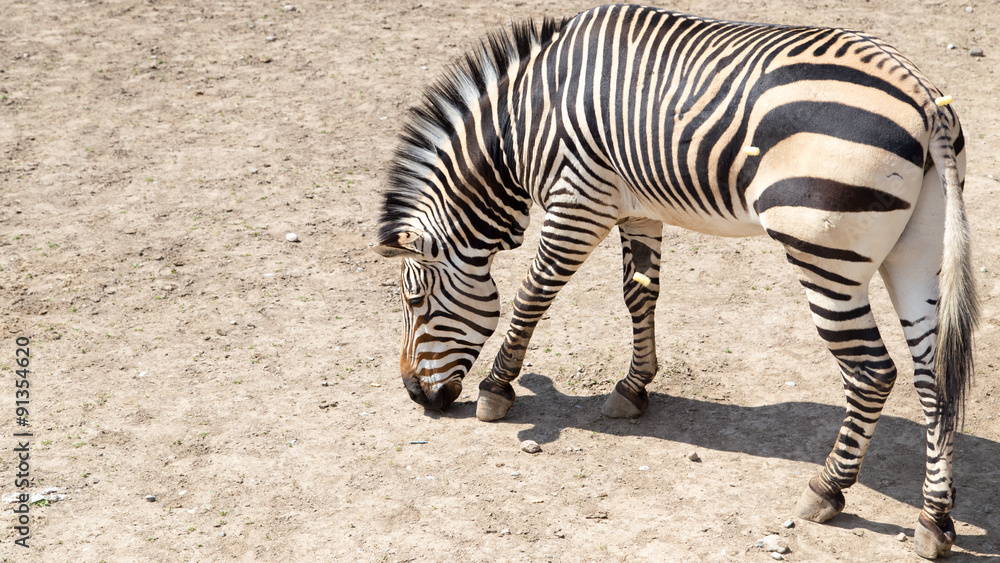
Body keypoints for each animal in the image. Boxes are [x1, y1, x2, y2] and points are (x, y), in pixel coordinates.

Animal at [372, 4, 972, 560]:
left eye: (415, 299)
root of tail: (923, 98)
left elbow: (532, 295)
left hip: (825, 255)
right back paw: (934, 519)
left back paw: (827, 489)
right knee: (933, 376)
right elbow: (639, 293)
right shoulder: (635, 206)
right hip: (917, 253)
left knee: (872, 372)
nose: (413, 395)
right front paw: (633, 388)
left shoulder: (578, 201)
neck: (522, 124)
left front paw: (497, 389)